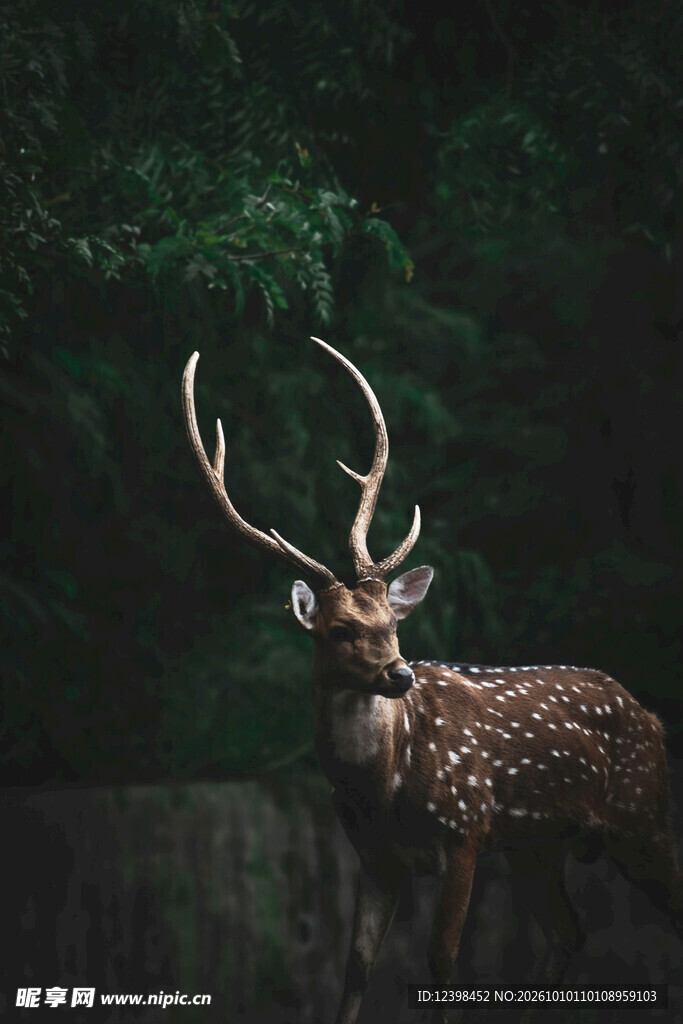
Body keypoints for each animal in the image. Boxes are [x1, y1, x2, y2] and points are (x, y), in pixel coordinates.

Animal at [181, 337, 682, 1024]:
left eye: (393, 621)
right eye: (340, 629)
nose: (400, 673)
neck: (385, 786)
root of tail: (650, 716)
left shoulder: (465, 828)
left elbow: (443, 963)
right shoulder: (373, 856)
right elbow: (355, 968)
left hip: (641, 813)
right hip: (538, 844)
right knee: (568, 931)